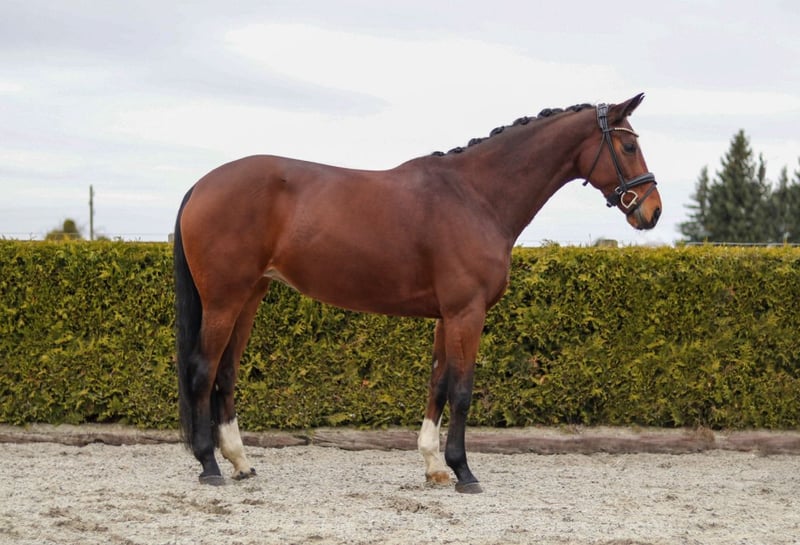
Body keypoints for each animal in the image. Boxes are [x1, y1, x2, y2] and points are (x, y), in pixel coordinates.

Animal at [173, 93, 661, 493]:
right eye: (629, 147)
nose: (652, 211)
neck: (474, 196)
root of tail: (202, 185)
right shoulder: (467, 313)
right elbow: (462, 389)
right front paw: (464, 472)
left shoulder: (448, 316)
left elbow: (438, 385)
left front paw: (435, 467)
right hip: (223, 300)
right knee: (202, 369)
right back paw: (209, 466)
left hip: (249, 297)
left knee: (226, 373)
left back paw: (240, 462)